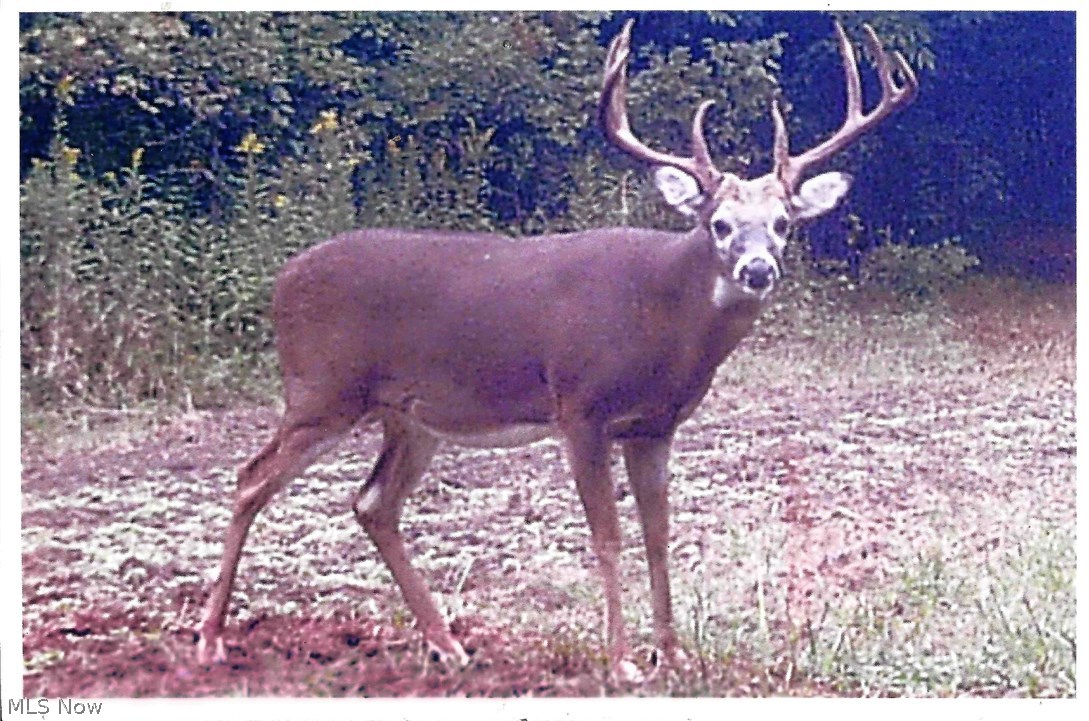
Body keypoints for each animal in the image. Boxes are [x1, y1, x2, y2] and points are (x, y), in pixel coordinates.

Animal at [196, 19, 917, 680]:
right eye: (718, 224)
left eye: (783, 223)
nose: (758, 269)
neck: (663, 324)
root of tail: (281, 281)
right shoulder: (580, 407)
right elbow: (607, 536)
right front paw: (623, 662)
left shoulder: (654, 426)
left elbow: (659, 534)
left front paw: (672, 655)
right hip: (321, 388)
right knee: (250, 478)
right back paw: (210, 640)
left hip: (410, 415)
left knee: (373, 504)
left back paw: (449, 644)